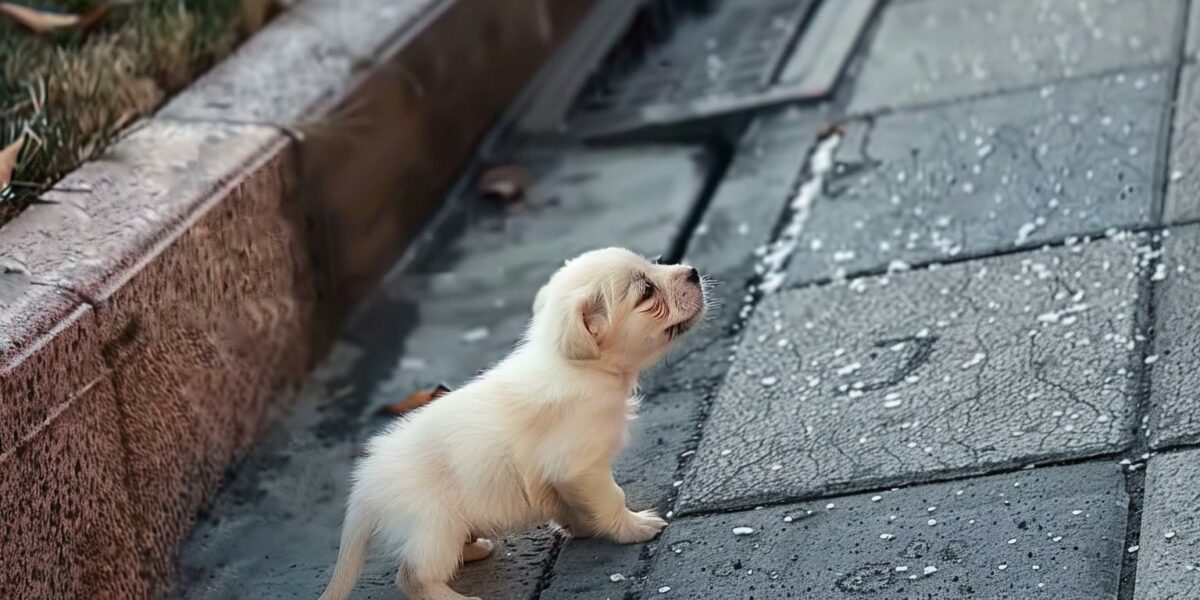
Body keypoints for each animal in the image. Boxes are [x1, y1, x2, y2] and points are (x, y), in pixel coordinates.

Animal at [324, 246, 705, 597]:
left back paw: (474, 549)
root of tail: (365, 485)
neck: (579, 367)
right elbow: (612, 498)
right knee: (413, 577)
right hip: (435, 526)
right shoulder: (580, 468)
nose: (693, 272)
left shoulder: (559, 478)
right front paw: (634, 527)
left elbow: (569, 505)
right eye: (646, 292)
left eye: (654, 263)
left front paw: (579, 526)